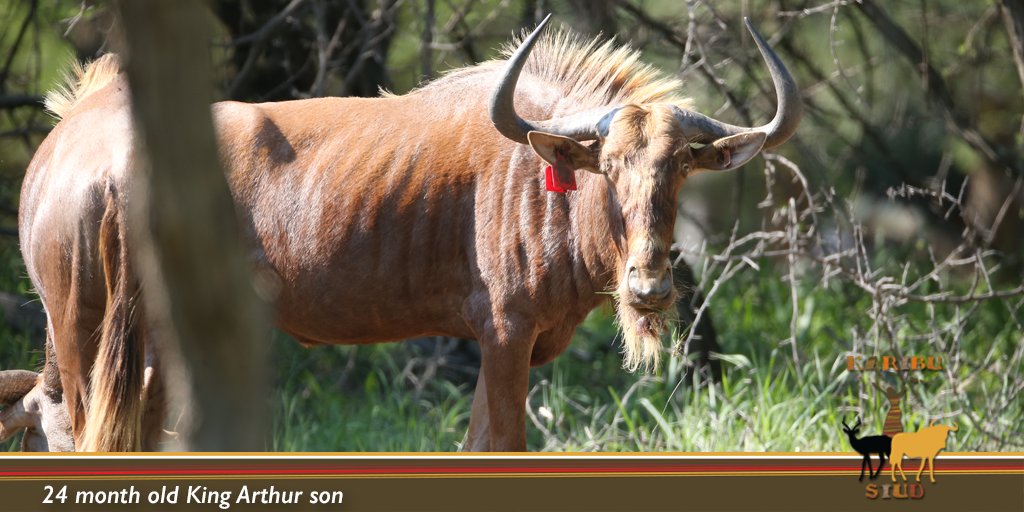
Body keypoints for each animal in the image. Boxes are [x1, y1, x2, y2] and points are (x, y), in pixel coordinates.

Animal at [0, 16, 799, 452]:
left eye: (682, 166)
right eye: (608, 165)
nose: (650, 286)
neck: (541, 168)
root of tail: (78, 142)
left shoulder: (503, 347)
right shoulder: (506, 334)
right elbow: (503, 445)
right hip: (83, 336)